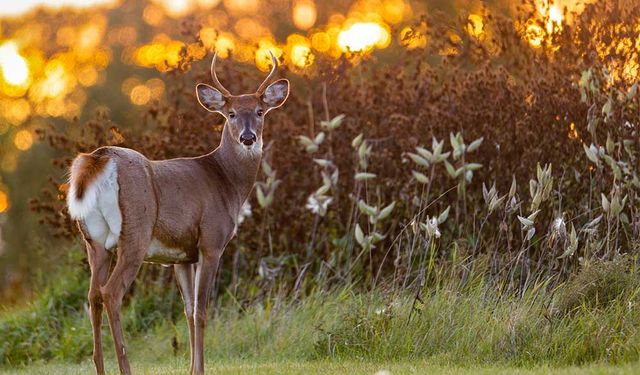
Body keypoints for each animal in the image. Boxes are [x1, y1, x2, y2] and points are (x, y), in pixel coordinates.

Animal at [65, 53, 290, 375]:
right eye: (231, 114)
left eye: (260, 111)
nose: (248, 138)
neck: (226, 181)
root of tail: (98, 158)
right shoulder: (211, 242)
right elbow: (202, 310)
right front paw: (201, 369)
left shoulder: (181, 256)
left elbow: (188, 311)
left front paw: (192, 367)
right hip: (135, 233)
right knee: (111, 293)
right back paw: (125, 366)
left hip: (94, 242)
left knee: (93, 295)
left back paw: (99, 366)